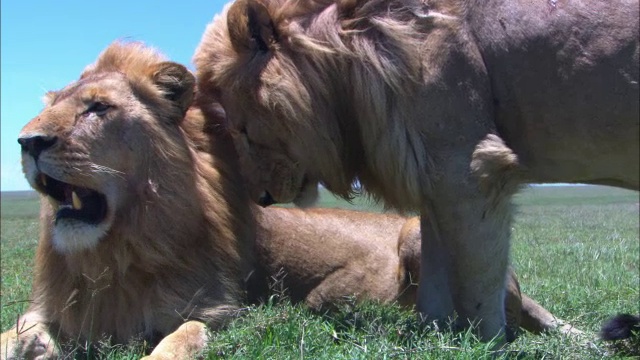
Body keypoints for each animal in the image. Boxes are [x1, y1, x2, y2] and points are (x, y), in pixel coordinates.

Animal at [1, 41, 580, 358]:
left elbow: (181, 339)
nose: (27, 142)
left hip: (422, 231)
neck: (114, 250)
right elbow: (16, 331)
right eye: (54, 105)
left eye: (97, 108)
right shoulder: (57, 307)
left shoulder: (219, 310)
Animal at [192, 0, 636, 342]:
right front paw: (433, 336)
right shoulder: (434, 179)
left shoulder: (472, 167)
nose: (260, 197)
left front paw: (485, 343)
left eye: (242, 129)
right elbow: (437, 284)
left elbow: (477, 284)